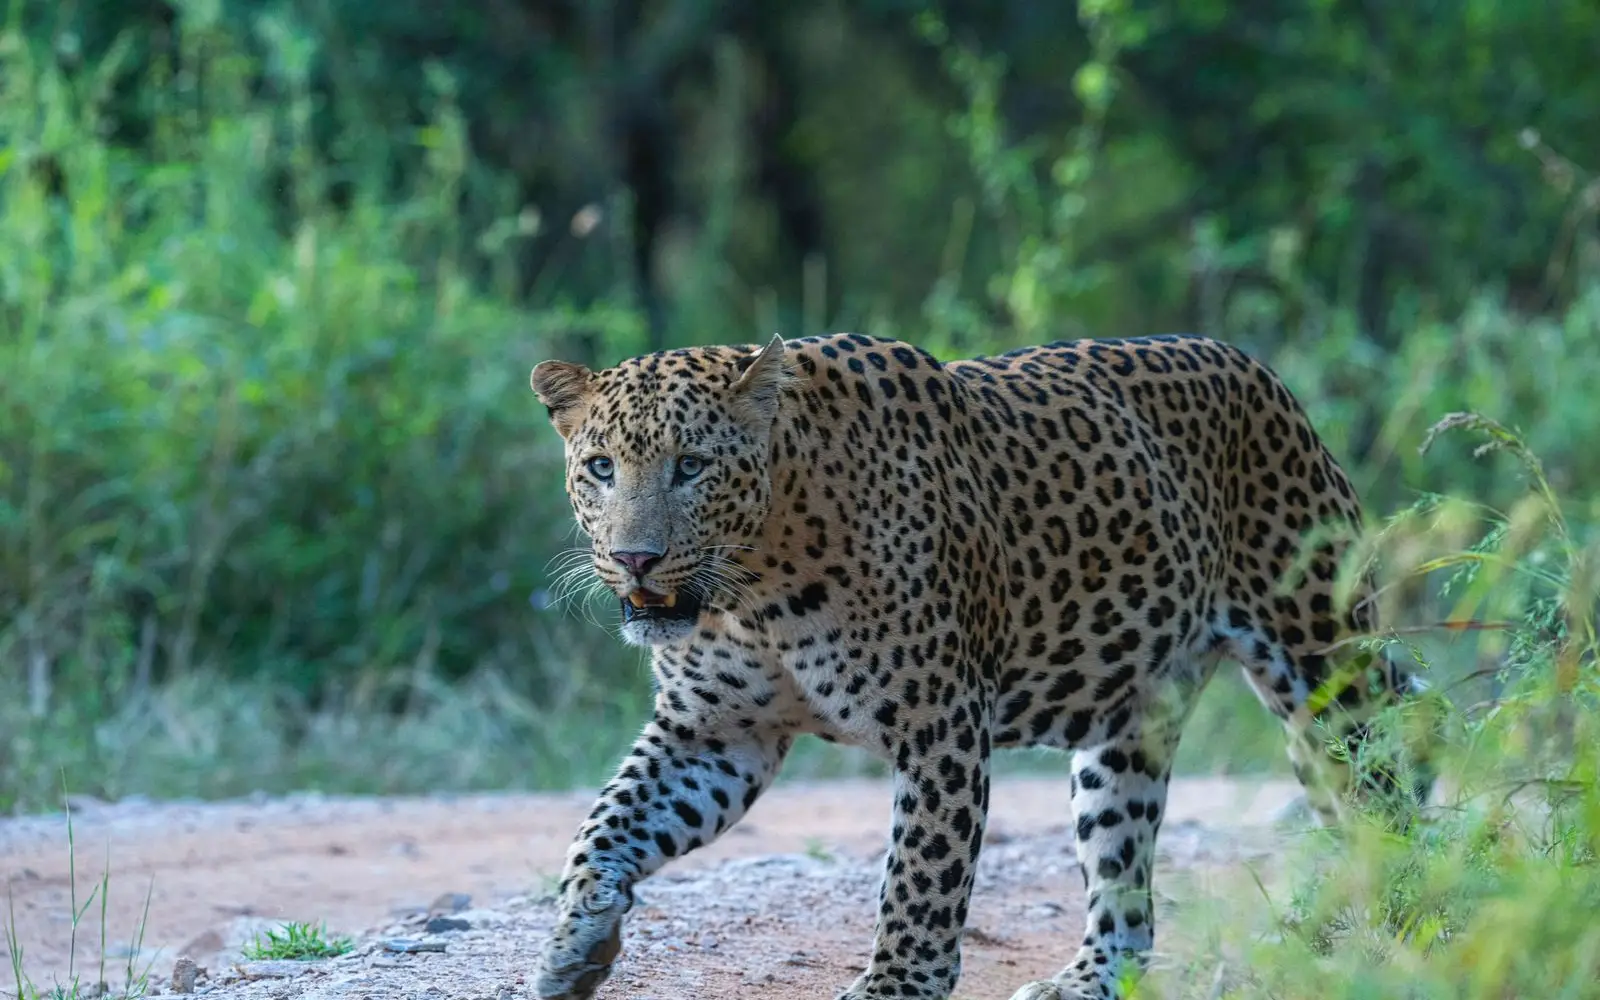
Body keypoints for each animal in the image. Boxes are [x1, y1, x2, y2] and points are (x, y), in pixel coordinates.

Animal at [525, 331, 1434, 1000]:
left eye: (692, 466)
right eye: (601, 467)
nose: (635, 559)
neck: (758, 583)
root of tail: (1259, 371)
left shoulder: (940, 726)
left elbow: (921, 880)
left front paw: (892, 988)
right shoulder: (714, 734)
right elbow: (604, 825)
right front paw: (576, 943)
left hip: (1324, 666)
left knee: (1389, 798)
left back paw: (1409, 924)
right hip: (1126, 732)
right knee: (1126, 887)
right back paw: (1080, 981)